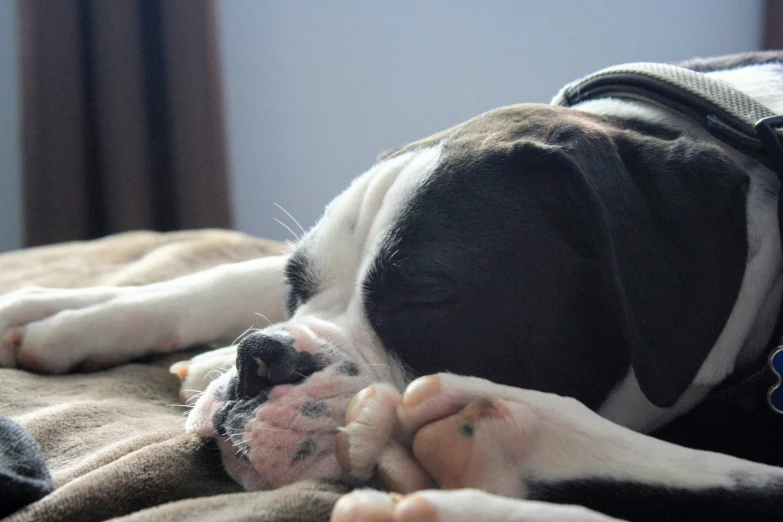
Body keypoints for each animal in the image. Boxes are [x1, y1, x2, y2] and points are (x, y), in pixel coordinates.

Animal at [1, 51, 783, 516]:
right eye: (295, 286)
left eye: (425, 300)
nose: (260, 356)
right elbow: (222, 275)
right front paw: (61, 311)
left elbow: (732, 476)